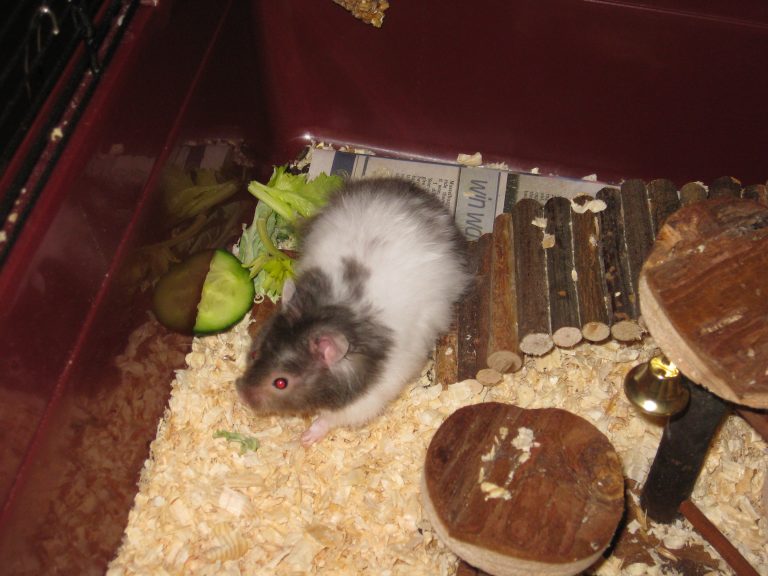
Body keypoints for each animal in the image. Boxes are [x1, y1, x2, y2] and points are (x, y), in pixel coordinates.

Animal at [236, 177, 471, 445]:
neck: (328, 313)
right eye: (254, 354)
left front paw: (305, 438)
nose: (241, 394)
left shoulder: (365, 400)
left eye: (281, 383)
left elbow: (330, 419)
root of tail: (426, 198)